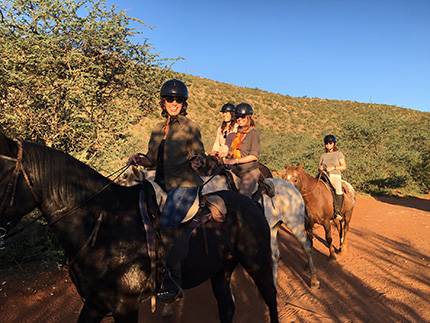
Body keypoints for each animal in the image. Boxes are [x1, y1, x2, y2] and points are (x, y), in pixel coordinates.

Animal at [0, 132, 278, 323]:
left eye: (1, 175)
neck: (103, 224)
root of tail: (249, 200)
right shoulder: (93, 304)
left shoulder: (126, 306)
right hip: (221, 270)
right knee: (227, 307)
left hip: (258, 264)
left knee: (271, 299)